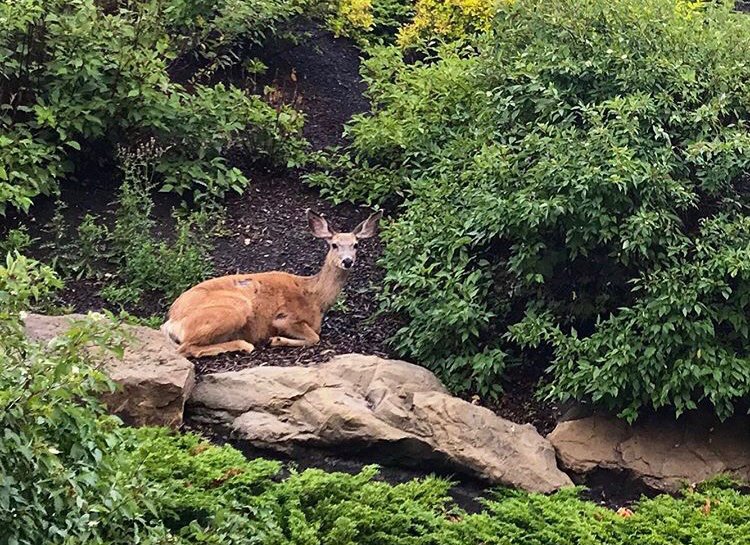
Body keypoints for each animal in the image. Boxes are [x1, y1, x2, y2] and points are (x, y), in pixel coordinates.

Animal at [161, 210, 383, 358]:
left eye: (356, 245)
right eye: (334, 245)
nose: (347, 261)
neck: (315, 298)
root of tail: (172, 321)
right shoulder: (284, 318)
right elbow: (314, 337)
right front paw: (276, 340)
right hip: (235, 308)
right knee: (185, 348)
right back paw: (244, 345)